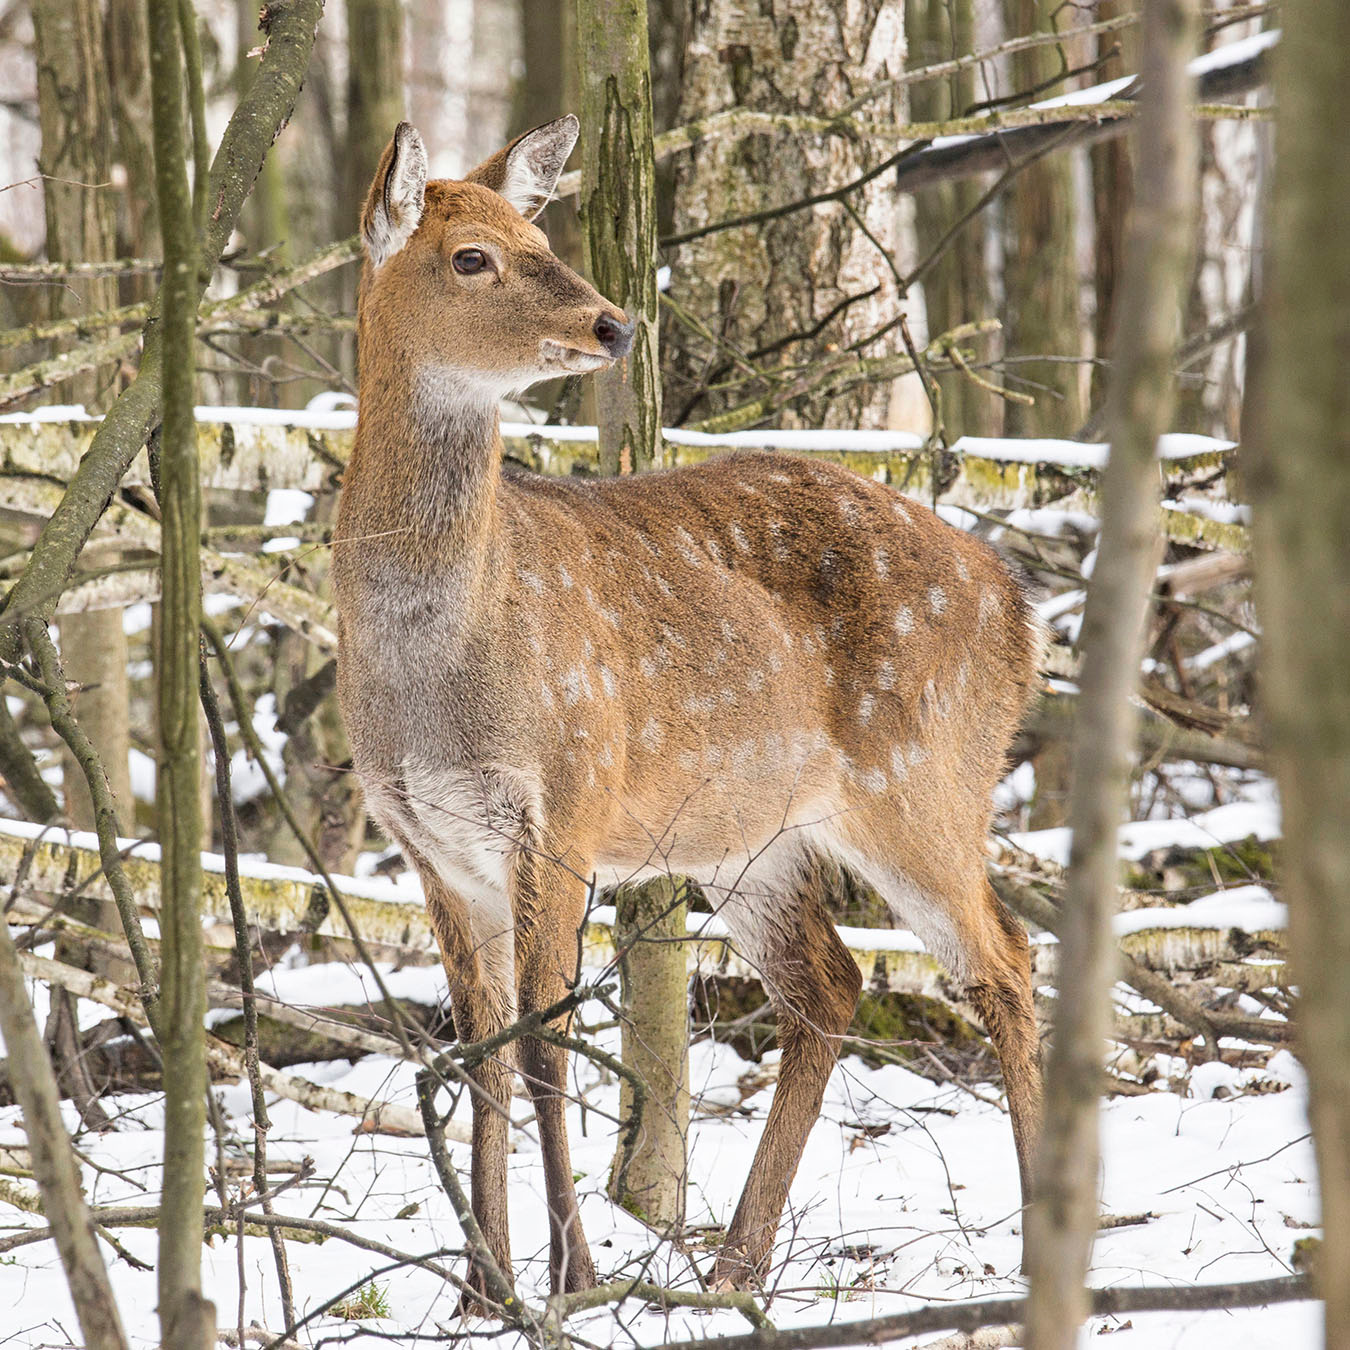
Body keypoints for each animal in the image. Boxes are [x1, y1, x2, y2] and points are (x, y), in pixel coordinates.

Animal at [332, 116, 1047, 1306]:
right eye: (471, 256)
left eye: (539, 234)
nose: (612, 323)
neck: (435, 672)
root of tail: (1019, 606)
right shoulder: (430, 842)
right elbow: (479, 1051)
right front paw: (484, 1289)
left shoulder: (566, 801)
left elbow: (545, 1047)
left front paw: (571, 1277)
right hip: (750, 835)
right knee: (831, 983)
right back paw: (734, 1265)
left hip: (924, 779)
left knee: (1007, 962)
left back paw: (1045, 1243)